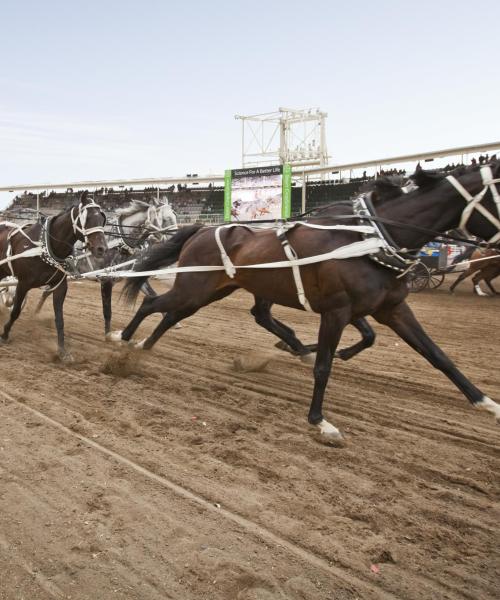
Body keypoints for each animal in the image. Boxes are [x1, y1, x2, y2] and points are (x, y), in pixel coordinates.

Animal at [0, 192, 105, 360]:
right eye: (87, 218)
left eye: (102, 218)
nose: (102, 249)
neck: (46, 246)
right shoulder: (23, 284)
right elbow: (15, 311)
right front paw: (4, 334)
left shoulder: (60, 286)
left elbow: (59, 319)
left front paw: (62, 351)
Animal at [112, 162, 500, 442]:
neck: (372, 238)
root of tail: (203, 229)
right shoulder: (337, 310)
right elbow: (324, 366)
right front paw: (319, 420)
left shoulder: (391, 308)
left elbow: (435, 355)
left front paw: (485, 401)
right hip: (195, 287)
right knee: (153, 306)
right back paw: (121, 339)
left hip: (211, 291)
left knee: (175, 315)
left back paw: (144, 344)